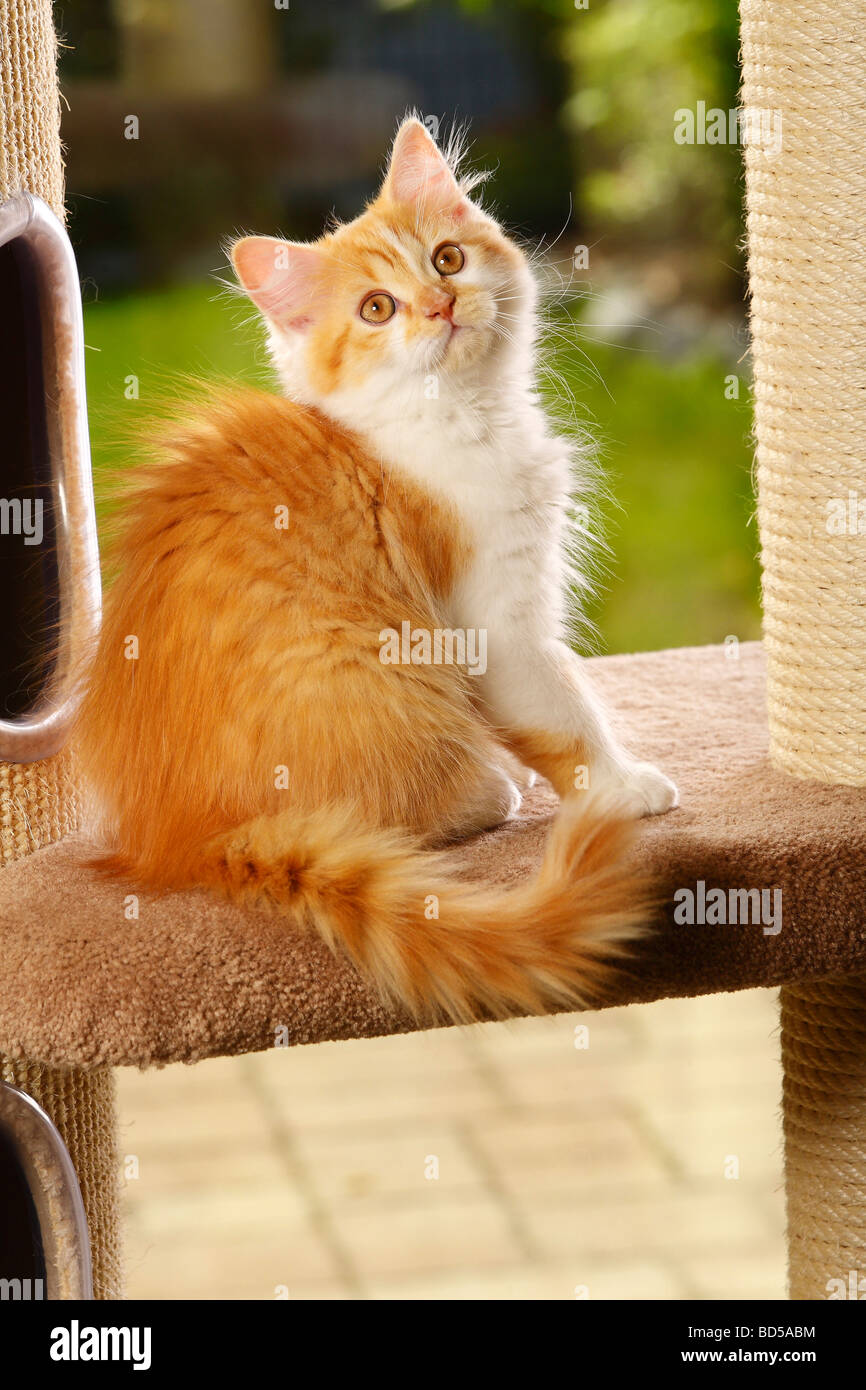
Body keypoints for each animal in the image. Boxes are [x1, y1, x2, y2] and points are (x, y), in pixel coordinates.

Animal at [76, 119, 678, 1028]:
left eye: (447, 260)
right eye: (376, 309)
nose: (440, 305)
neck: (463, 419)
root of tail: (182, 843)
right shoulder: (495, 622)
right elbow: (567, 712)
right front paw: (621, 786)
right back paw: (489, 790)